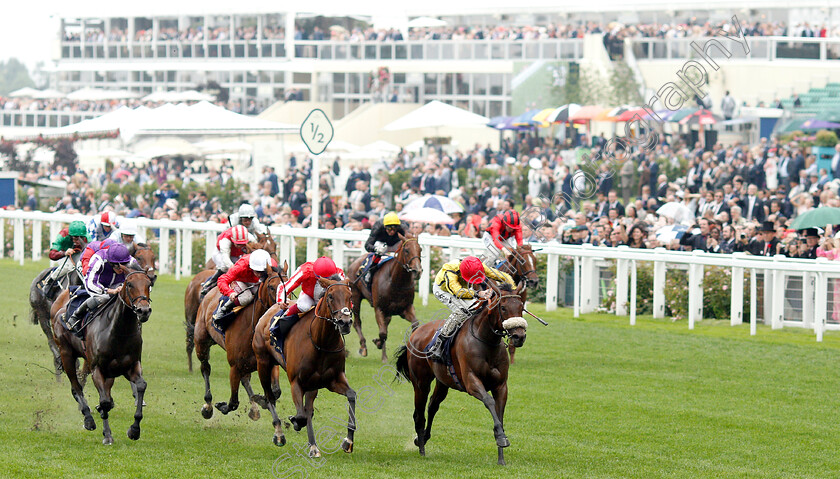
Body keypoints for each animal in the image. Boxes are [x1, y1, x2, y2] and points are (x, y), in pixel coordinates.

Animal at [51, 270, 153, 446]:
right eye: (130, 284)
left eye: (149, 284)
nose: (144, 310)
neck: (119, 331)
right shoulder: (97, 369)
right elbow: (104, 400)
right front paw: (107, 435)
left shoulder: (131, 366)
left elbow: (140, 386)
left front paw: (134, 430)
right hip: (66, 355)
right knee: (76, 387)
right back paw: (88, 419)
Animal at [192, 262, 284, 420]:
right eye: (272, 287)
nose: (283, 306)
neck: (253, 329)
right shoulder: (234, 366)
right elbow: (233, 402)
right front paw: (221, 406)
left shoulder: (268, 362)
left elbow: (276, 391)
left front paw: (262, 401)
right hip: (201, 343)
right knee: (205, 368)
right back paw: (208, 406)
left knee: (245, 378)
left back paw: (254, 408)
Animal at [249, 276, 354, 456]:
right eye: (330, 296)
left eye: (350, 296)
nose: (345, 322)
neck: (320, 342)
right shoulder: (296, 382)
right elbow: (301, 415)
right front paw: (295, 422)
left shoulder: (333, 380)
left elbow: (352, 396)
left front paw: (348, 441)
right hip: (263, 363)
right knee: (270, 397)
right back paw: (279, 433)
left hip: (313, 384)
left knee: (308, 408)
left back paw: (313, 446)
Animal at [344, 234, 420, 362]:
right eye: (406, 250)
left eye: (420, 249)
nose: (417, 270)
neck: (395, 282)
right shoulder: (379, 308)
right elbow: (383, 333)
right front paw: (378, 344)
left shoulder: (406, 308)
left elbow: (415, 324)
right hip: (355, 297)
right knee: (357, 323)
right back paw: (363, 347)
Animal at [398, 282, 528, 464]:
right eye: (503, 307)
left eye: (521, 307)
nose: (519, 336)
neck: (486, 341)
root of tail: (416, 332)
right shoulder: (471, 382)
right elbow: (489, 401)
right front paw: (501, 438)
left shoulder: (501, 386)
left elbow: (499, 413)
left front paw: (501, 455)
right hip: (421, 383)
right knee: (419, 414)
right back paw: (422, 449)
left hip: (443, 382)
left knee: (432, 406)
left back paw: (423, 438)